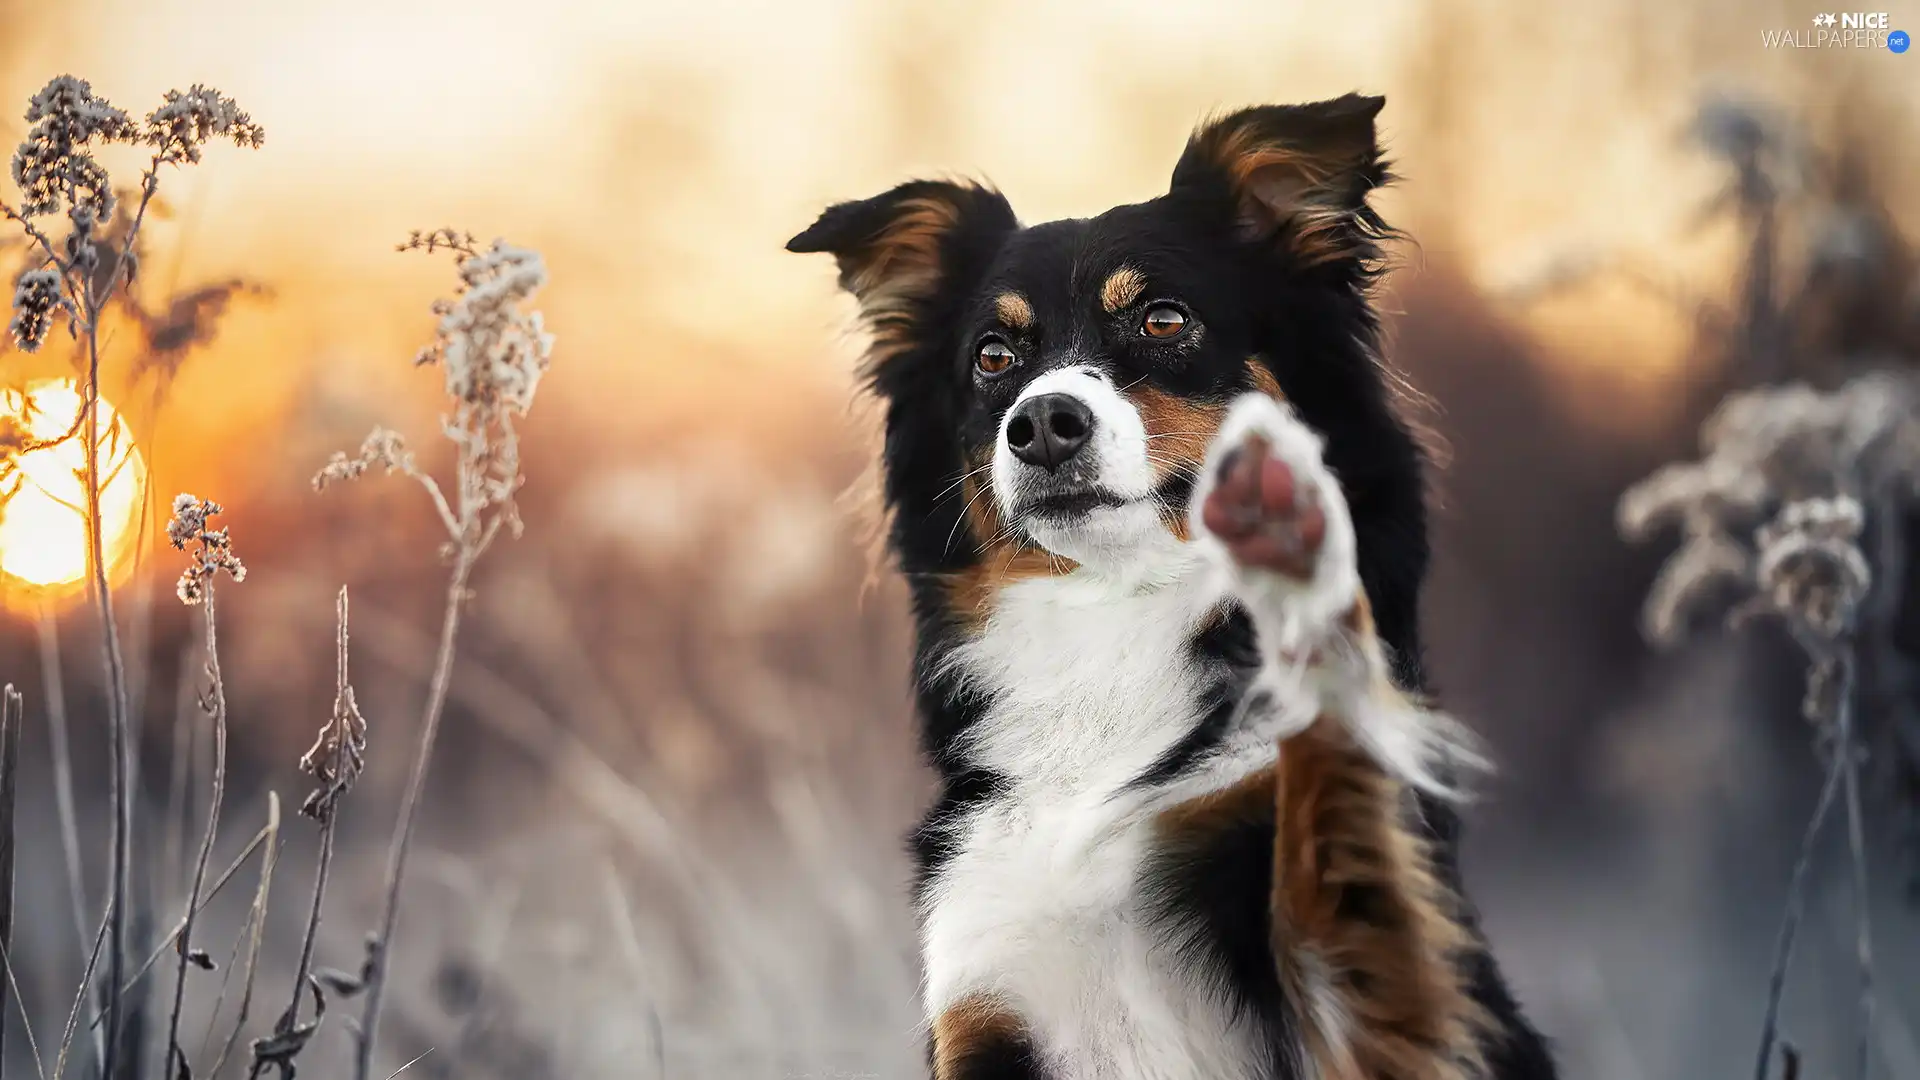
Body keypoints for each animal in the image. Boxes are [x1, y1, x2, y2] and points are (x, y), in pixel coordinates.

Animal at [787, 92, 1551, 1076]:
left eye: (1161, 319)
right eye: (994, 356)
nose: (1042, 423)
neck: (1113, 618)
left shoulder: (1372, 1012)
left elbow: (1332, 847)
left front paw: (1294, 562)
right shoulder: (985, 993)